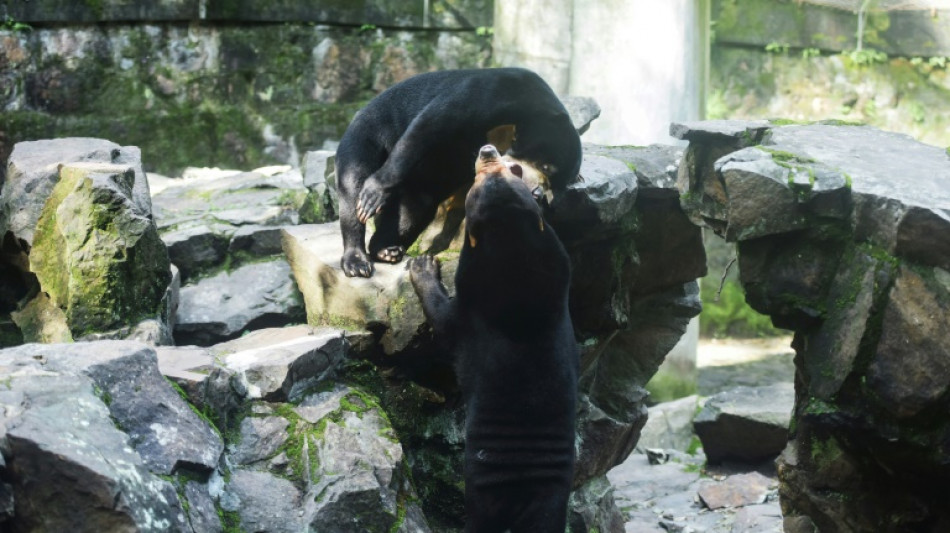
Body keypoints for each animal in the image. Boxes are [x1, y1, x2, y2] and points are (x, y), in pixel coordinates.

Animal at [338, 65, 584, 278]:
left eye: (556, 184)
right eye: (546, 167)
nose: (538, 193)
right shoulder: (494, 93)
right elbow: (431, 125)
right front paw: (374, 193)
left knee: (414, 205)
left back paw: (385, 250)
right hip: (368, 133)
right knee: (353, 183)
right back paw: (357, 260)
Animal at [410, 143, 580, 528]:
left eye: (507, 169)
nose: (487, 149)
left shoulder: (470, 314)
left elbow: (444, 321)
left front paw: (422, 265)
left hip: (482, 488)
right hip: (555, 496)